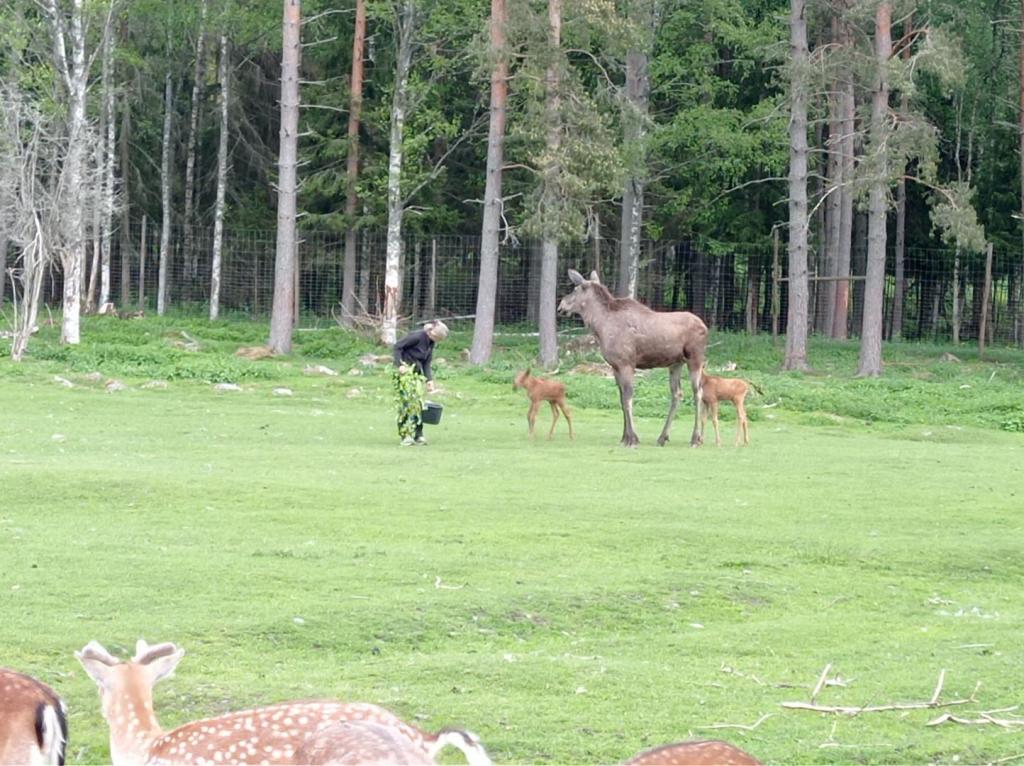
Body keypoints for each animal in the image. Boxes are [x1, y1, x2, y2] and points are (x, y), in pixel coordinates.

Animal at [557, 270, 708, 446]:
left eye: (575, 289)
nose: (560, 307)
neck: (600, 327)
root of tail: (705, 328)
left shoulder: (626, 363)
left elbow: (628, 398)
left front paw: (632, 439)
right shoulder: (615, 366)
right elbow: (622, 399)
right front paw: (624, 437)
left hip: (695, 359)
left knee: (698, 392)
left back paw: (696, 438)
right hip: (675, 363)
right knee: (677, 393)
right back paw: (662, 437)